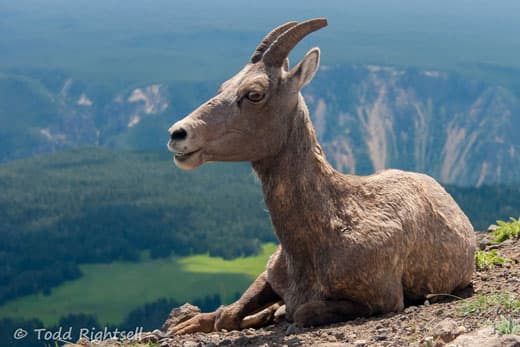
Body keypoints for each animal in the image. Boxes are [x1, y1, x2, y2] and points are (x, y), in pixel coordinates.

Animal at [167, 19, 476, 334]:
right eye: (224, 86)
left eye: (254, 94)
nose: (178, 134)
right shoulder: (270, 273)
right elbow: (227, 316)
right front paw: (187, 325)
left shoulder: (382, 299)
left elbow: (301, 312)